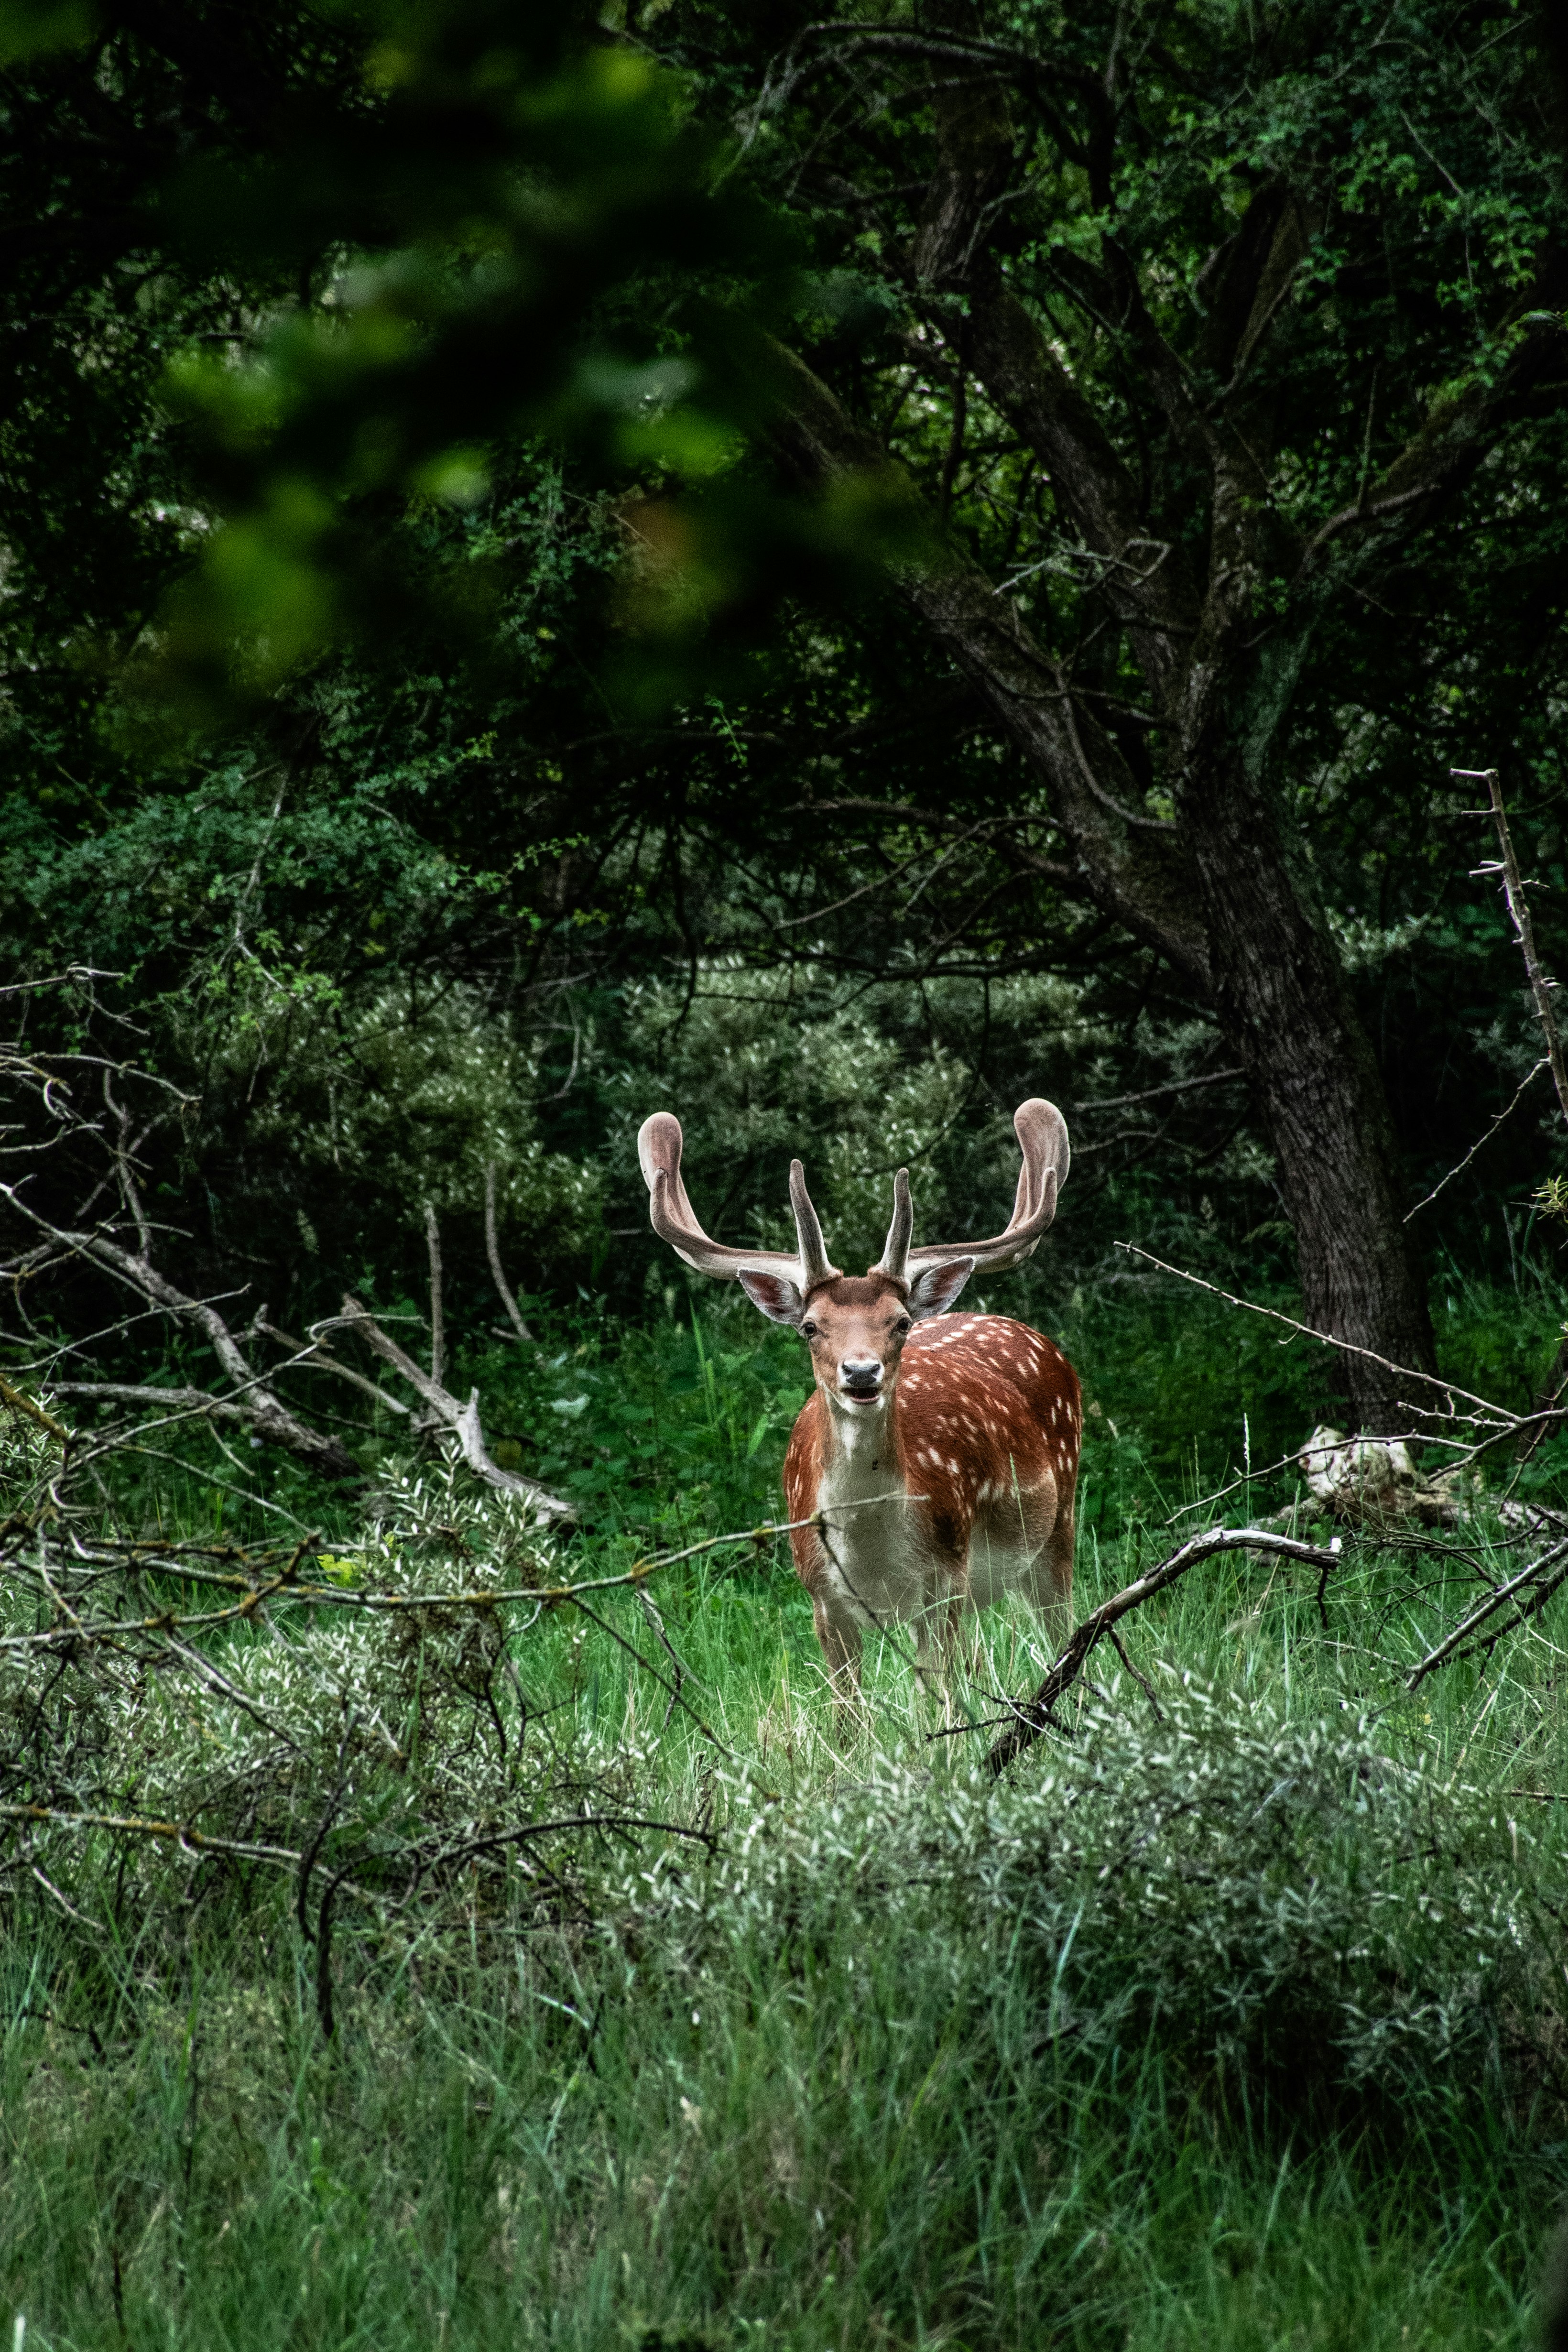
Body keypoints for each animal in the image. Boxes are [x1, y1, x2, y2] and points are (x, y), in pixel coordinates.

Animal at [639, 1100, 1081, 1712]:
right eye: (810, 1327)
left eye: (900, 1322)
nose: (861, 1372)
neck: (872, 1553)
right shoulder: (822, 1596)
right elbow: (849, 1718)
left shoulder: (944, 1579)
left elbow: (937, 1708)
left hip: (1056, 1527)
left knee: (1065, 1641)